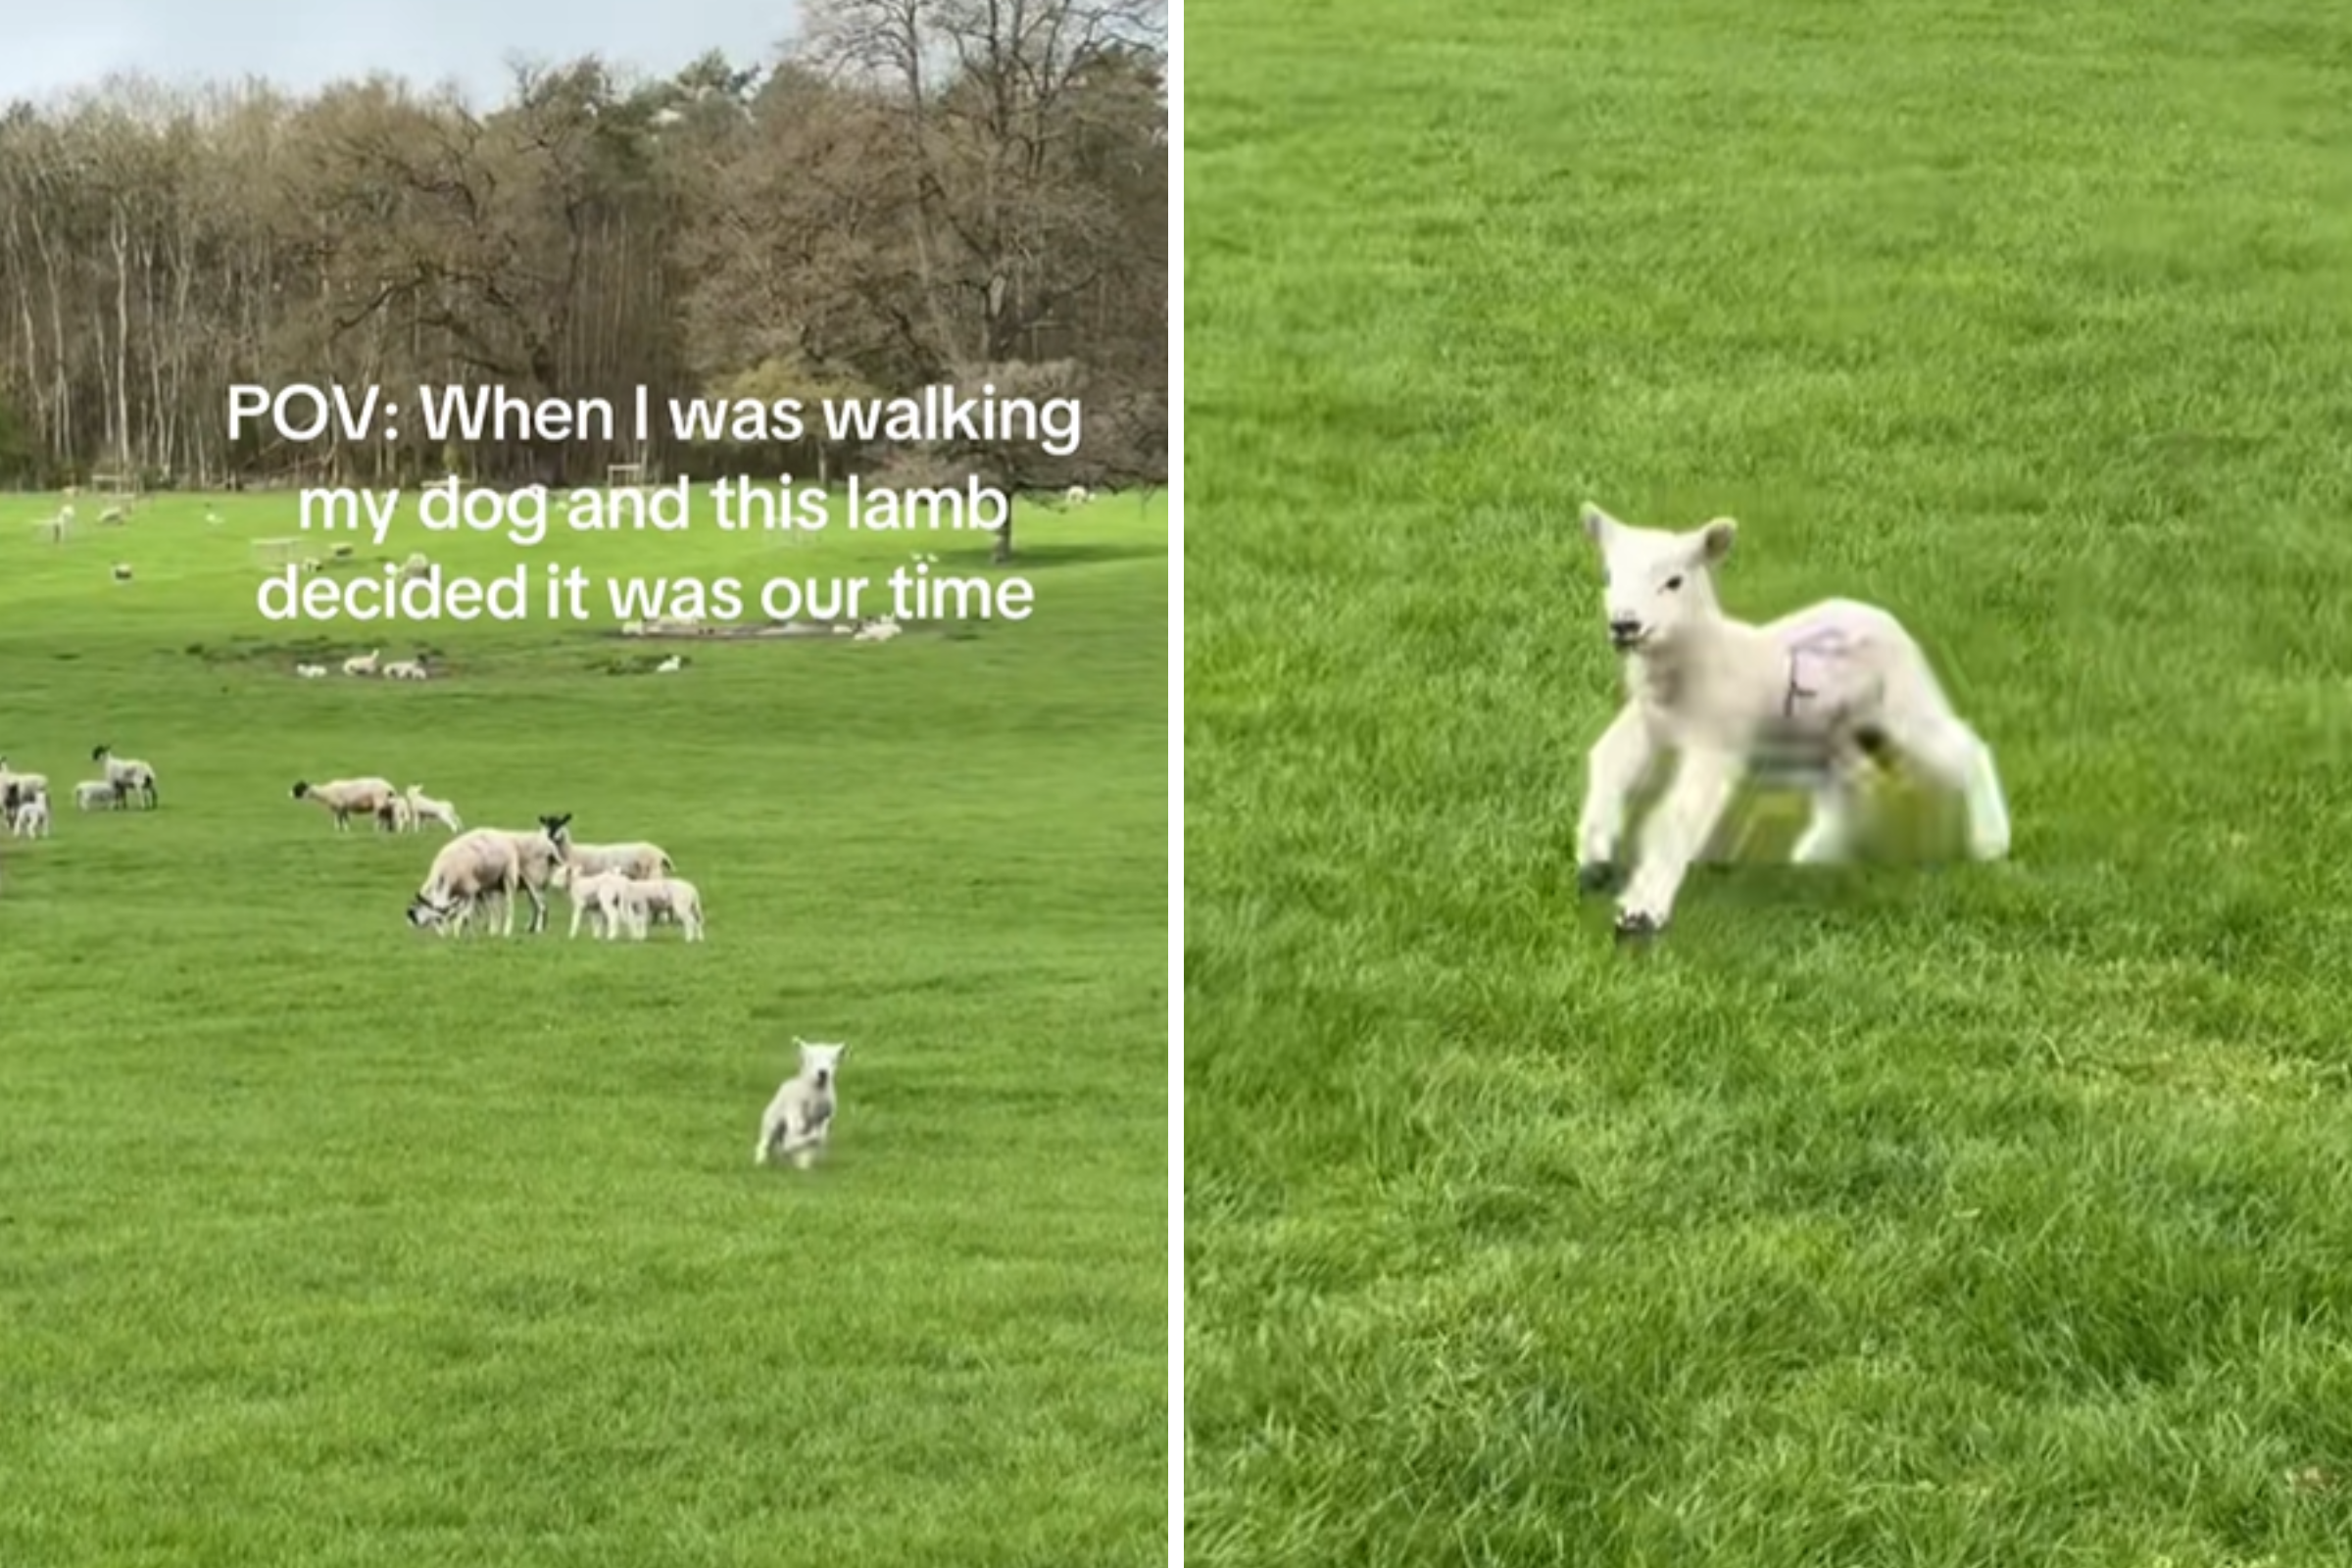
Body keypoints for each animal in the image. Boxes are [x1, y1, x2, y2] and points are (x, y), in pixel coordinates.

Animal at [754, 1039, 847, 1169]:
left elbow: (814, 1142)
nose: (823, 1073)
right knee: (764, 1143)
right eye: (811, 1059)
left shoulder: (825, 1118)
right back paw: (761, 1161)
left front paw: (803, 1165)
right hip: (771, 1121)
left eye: (833, 1060)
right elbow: (800, 1139)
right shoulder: (796, 1118)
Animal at [1573, 502, 2011, 938]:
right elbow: (1607, 760)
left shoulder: (1717, 739)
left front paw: (1641, 912)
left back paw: (1992, 841)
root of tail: (1877, 612)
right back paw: (1815, 855)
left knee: (1964, 749)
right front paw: (1594, 861)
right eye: (1608, 576)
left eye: (1674, 581)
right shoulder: (1647, 720)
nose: (1625, 625)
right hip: (1824, 732)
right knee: (1850, 779)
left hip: (1905, 697)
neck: (1700, 659)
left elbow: (1675, 814)